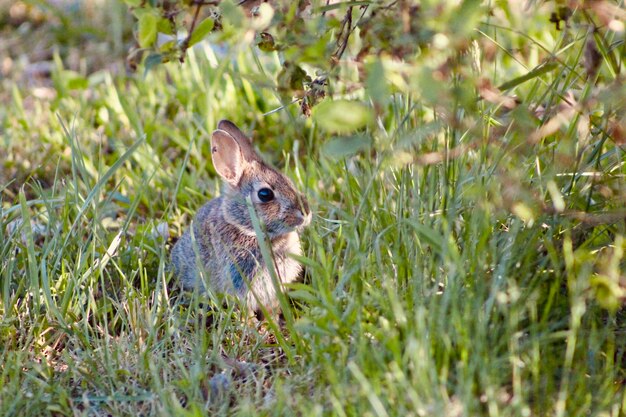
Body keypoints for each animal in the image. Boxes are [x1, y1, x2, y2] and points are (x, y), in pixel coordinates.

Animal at [171, 119, 310, 316]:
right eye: (265, 194)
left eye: (289, 181)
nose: (306, 212)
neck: (248, 230)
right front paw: (253, 322)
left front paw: (273, 318)